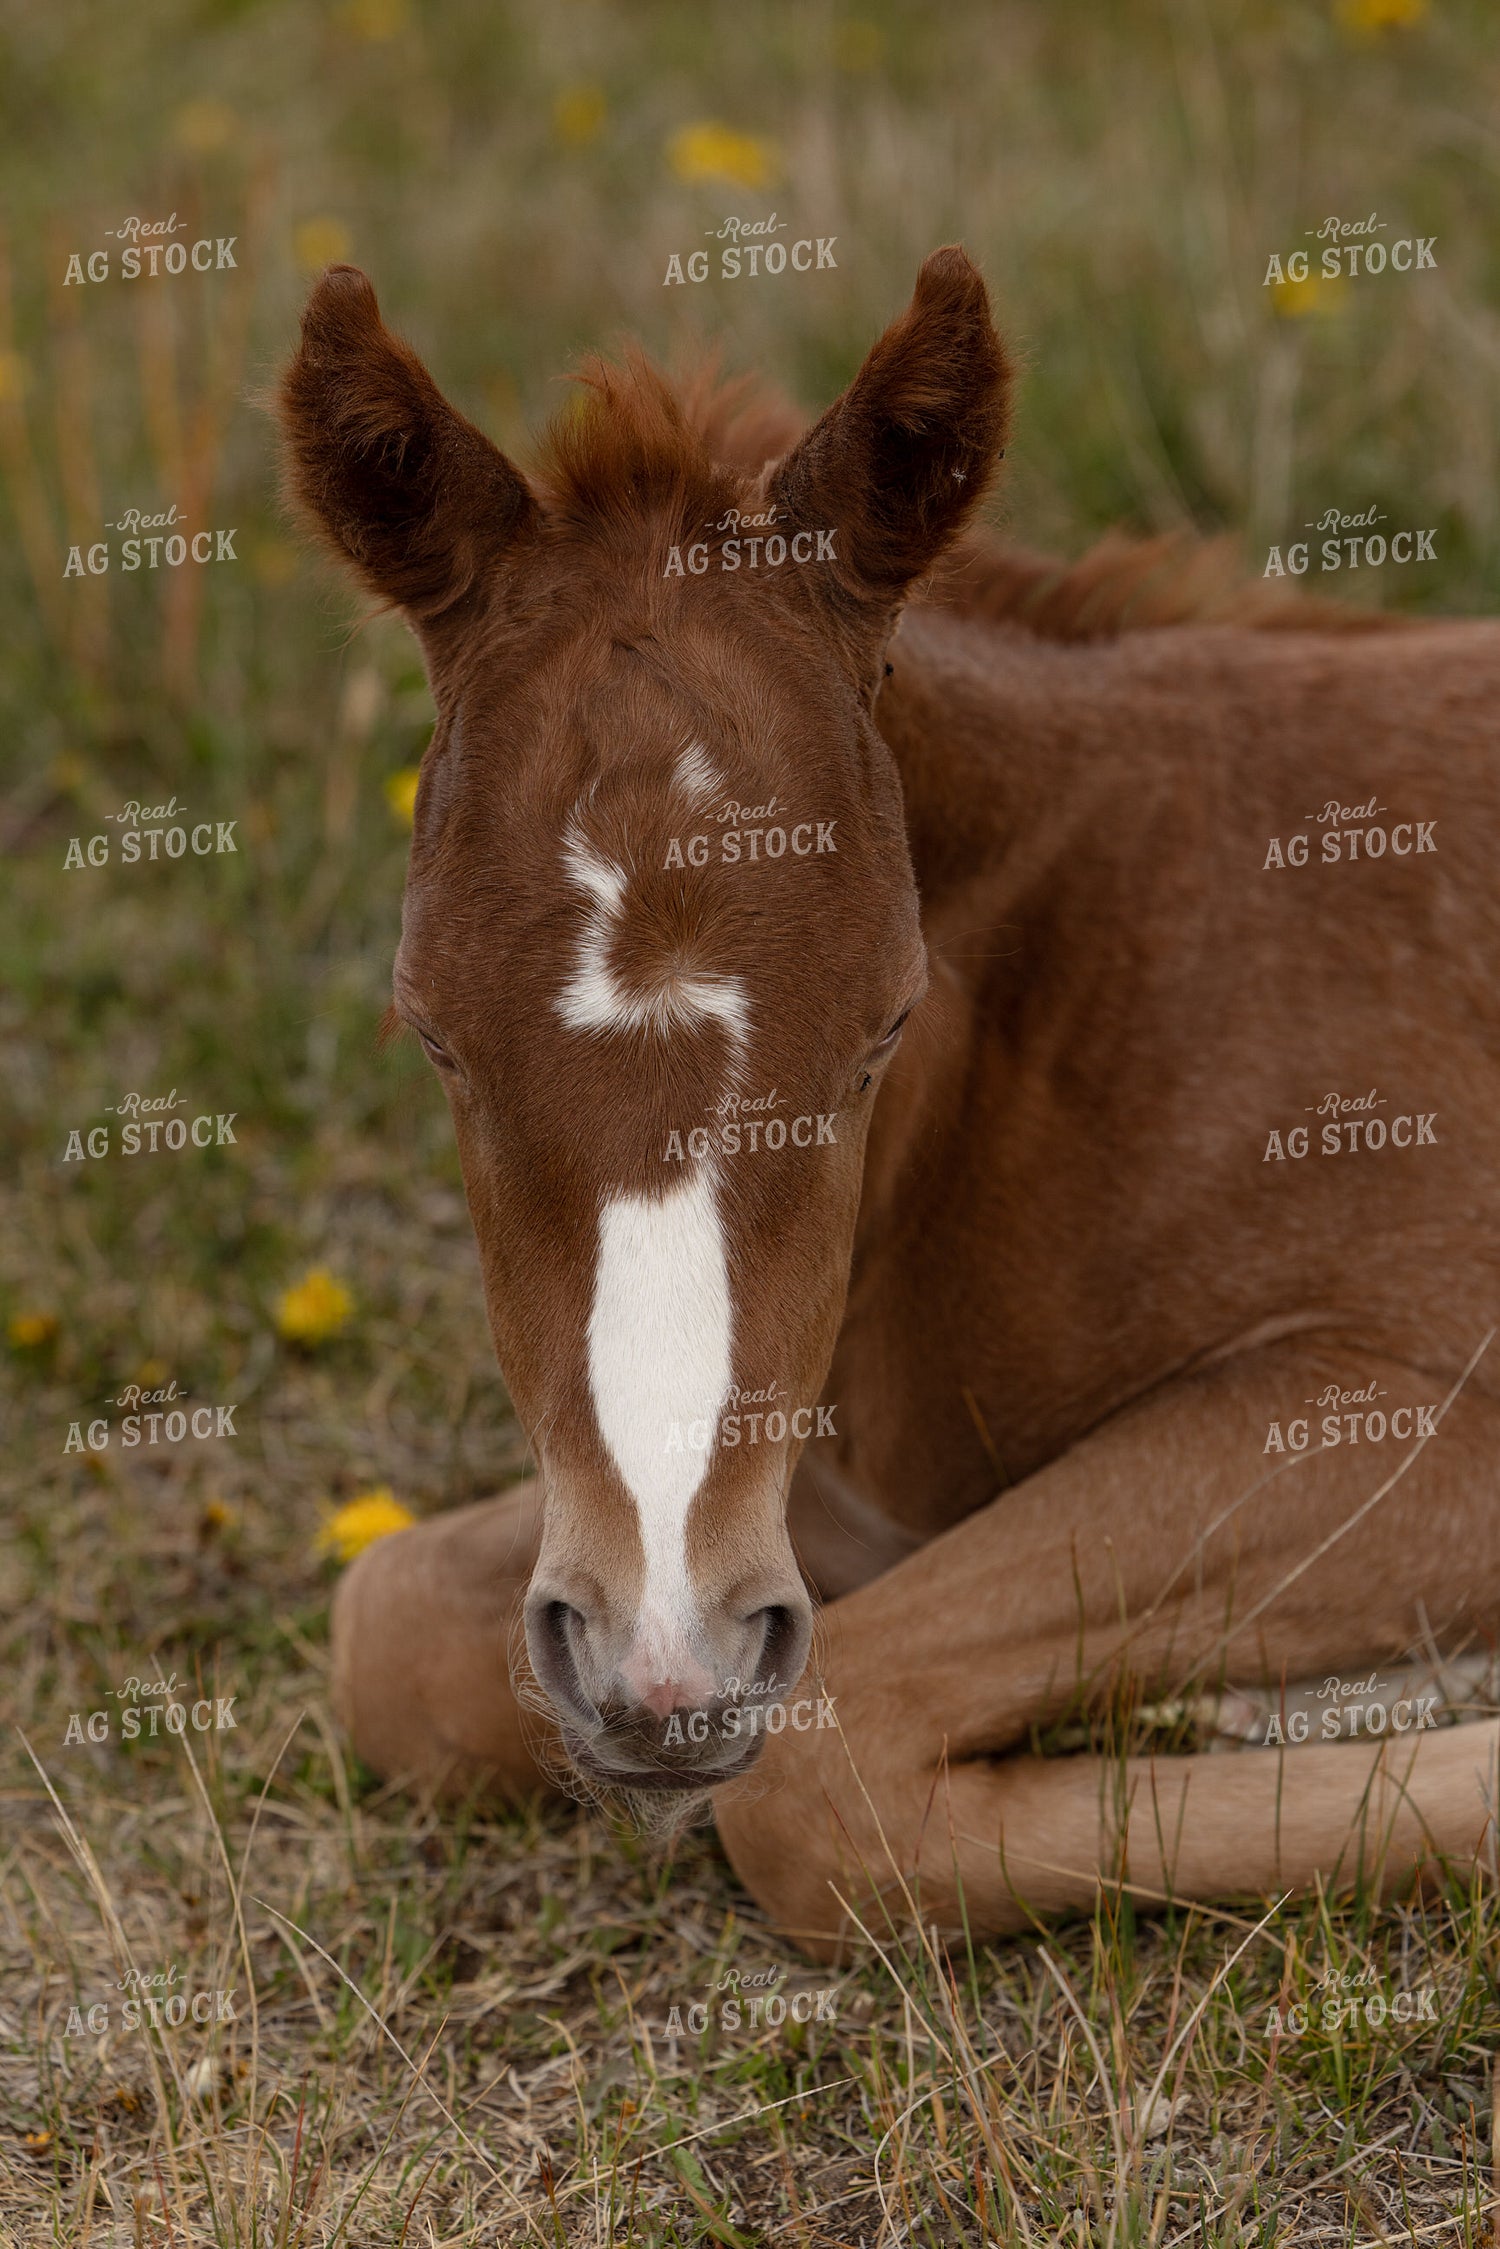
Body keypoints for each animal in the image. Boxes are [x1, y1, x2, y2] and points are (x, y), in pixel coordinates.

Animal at [278, 247, 1500, 1960]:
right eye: (433, 1036)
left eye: (888, 1027)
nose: (666, 1672)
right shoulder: (830, 1483)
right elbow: (384, 1626)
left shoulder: (1421, 1398)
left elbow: (817, 1785)